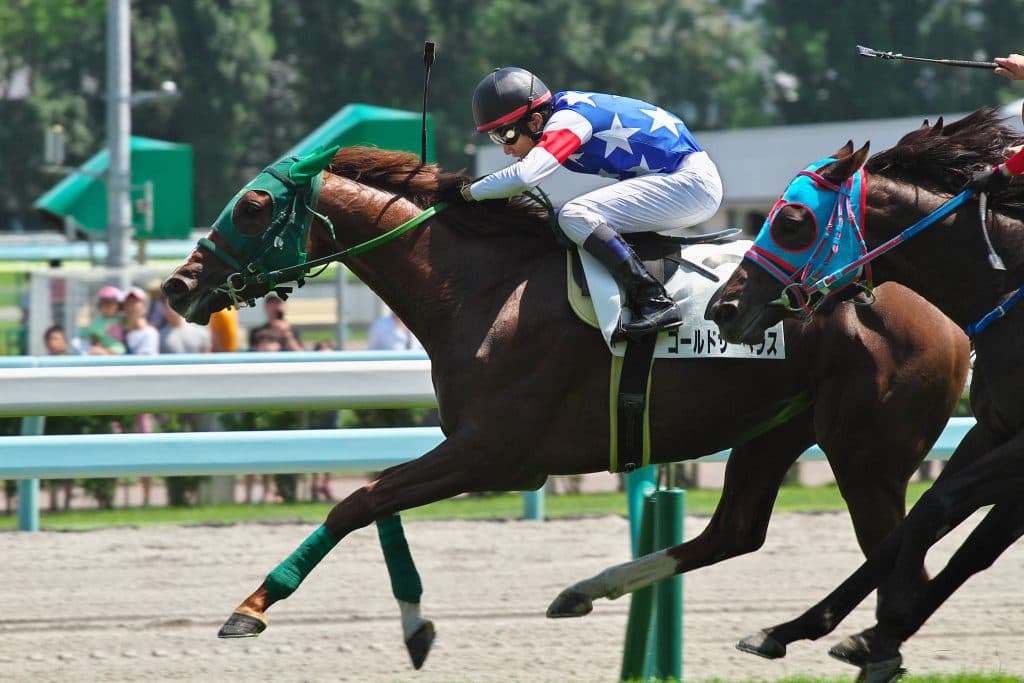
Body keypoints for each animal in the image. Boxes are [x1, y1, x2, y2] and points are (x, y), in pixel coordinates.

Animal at [161, 145, 968, 667]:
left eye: (254, 205)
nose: (177, 285)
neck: (481, 286)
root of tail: (950, 315)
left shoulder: (489, 453)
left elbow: (355, 501)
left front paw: (253, 606)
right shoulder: (482, 456)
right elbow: (376, 499)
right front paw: (416, 628)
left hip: (865, 452)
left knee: (898, 561)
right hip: (776, 428)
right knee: (736, 531)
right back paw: (588, 591)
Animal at [709, 108, 1024, 681]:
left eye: (791, 223)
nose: (723, 308)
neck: (1011, 291)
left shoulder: (1019, 448)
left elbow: (944, 513)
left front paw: (886, 627)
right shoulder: (993, 429)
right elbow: (932, 524)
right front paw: (798, 630)